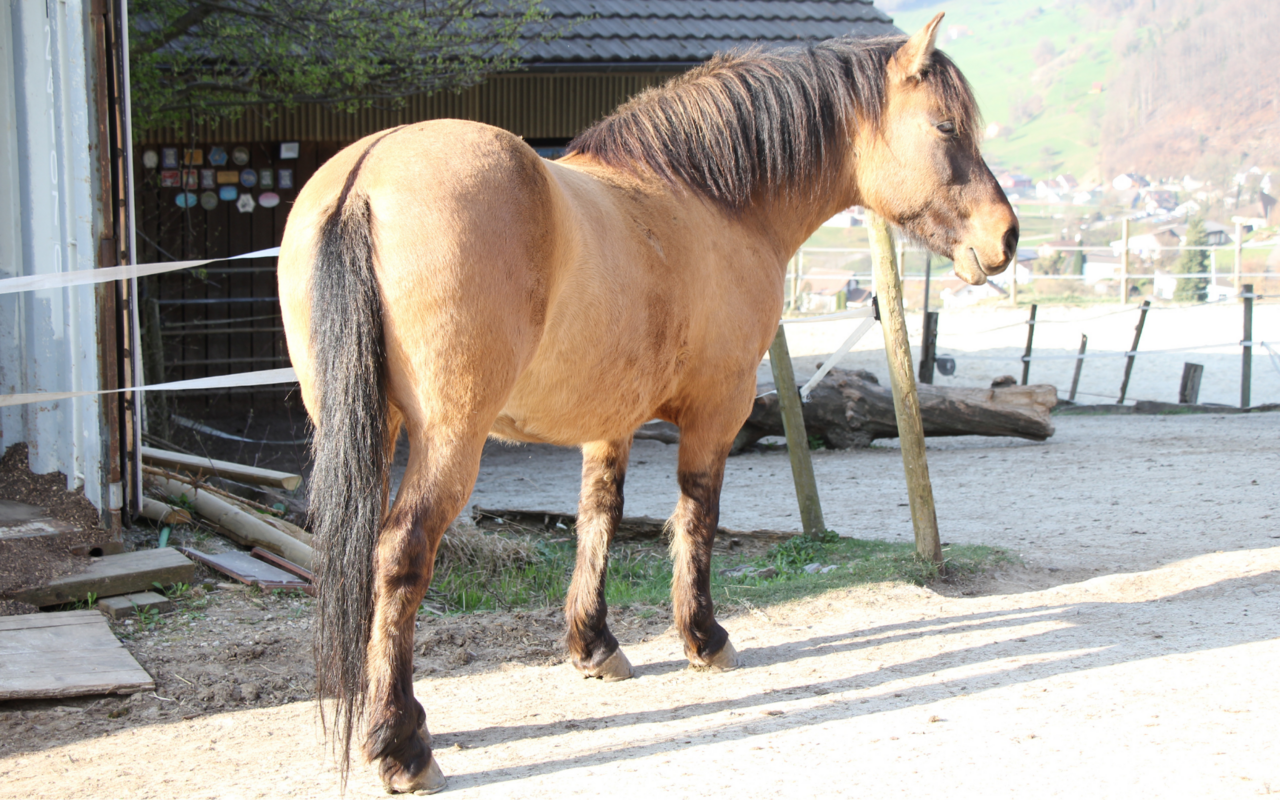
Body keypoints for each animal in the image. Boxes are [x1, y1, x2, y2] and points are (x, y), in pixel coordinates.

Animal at [275, 12, 1013, 793]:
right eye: (944, 126)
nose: (1007, 236)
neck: (712, 203)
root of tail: (368, 172)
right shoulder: (717, 413)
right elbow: (697, 517)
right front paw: (704, 638)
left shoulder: (611, 423)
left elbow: (599, 517)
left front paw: (594, 646)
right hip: (449, 439)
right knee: (400, 554)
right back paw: (402, 742)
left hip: (362, 428)